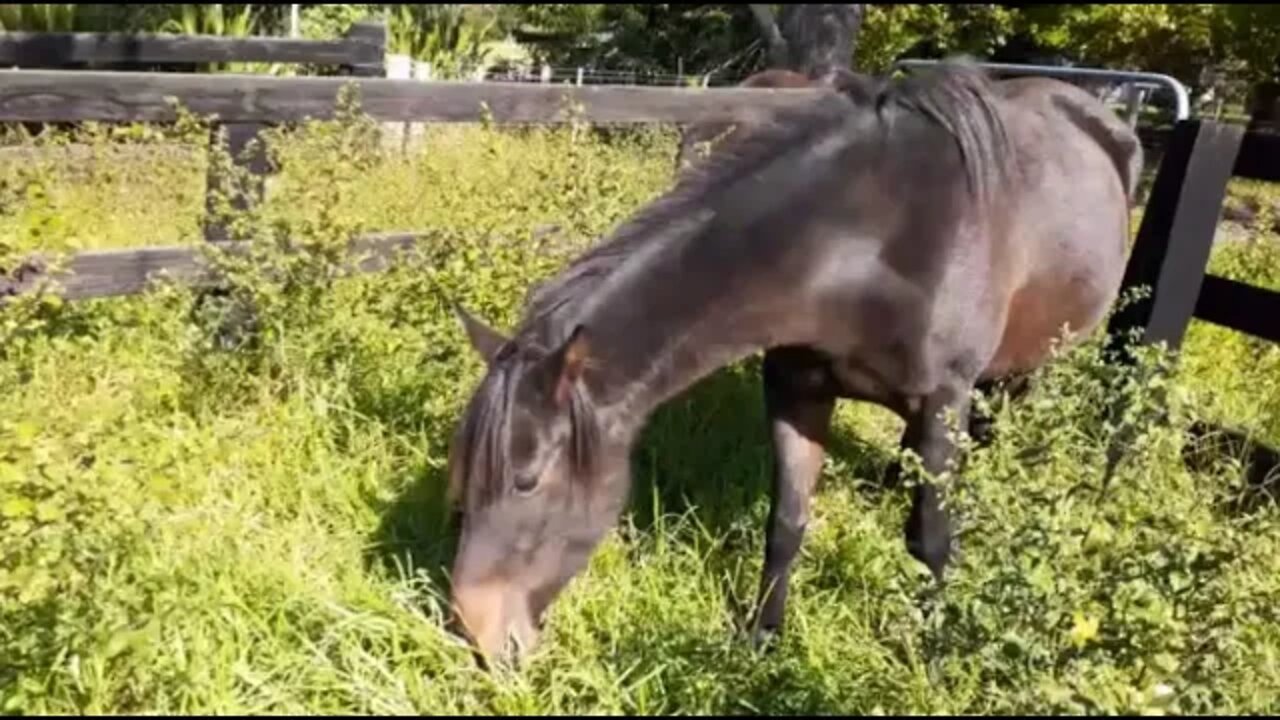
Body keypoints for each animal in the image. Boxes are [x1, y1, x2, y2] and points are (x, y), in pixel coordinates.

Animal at [442, 60, 1141, 661]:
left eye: (527, 479)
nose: (477, 635)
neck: (870, 246)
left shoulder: (944, 397)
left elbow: (931, 538)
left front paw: (932, 649)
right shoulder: (796, 391)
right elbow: (787, 522)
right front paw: (761, 638)